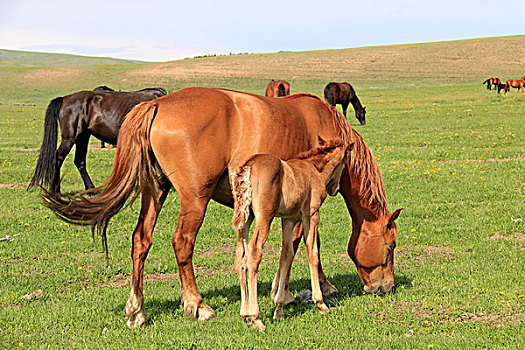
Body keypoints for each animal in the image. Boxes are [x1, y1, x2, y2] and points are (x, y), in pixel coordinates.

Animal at [27, 86, 166, 193]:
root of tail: (64, 98)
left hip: (83, 137)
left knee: (79, 161)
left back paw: (91, 190)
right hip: (70, 139)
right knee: (58, 158)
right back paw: (56, 191)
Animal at [229, 139, 352, 330]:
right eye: (344, 164)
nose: (335, 189)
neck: (313, 169)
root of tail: (248, 166)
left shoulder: (288, 220)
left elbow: (286, 255)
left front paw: (279, 309)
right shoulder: (312, 215)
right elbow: (312, 253)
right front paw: (321, 303)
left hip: (246, 219)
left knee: (240, 255)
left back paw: (245, 314)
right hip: (264, 217)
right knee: (254, 252)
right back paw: (255, 317)